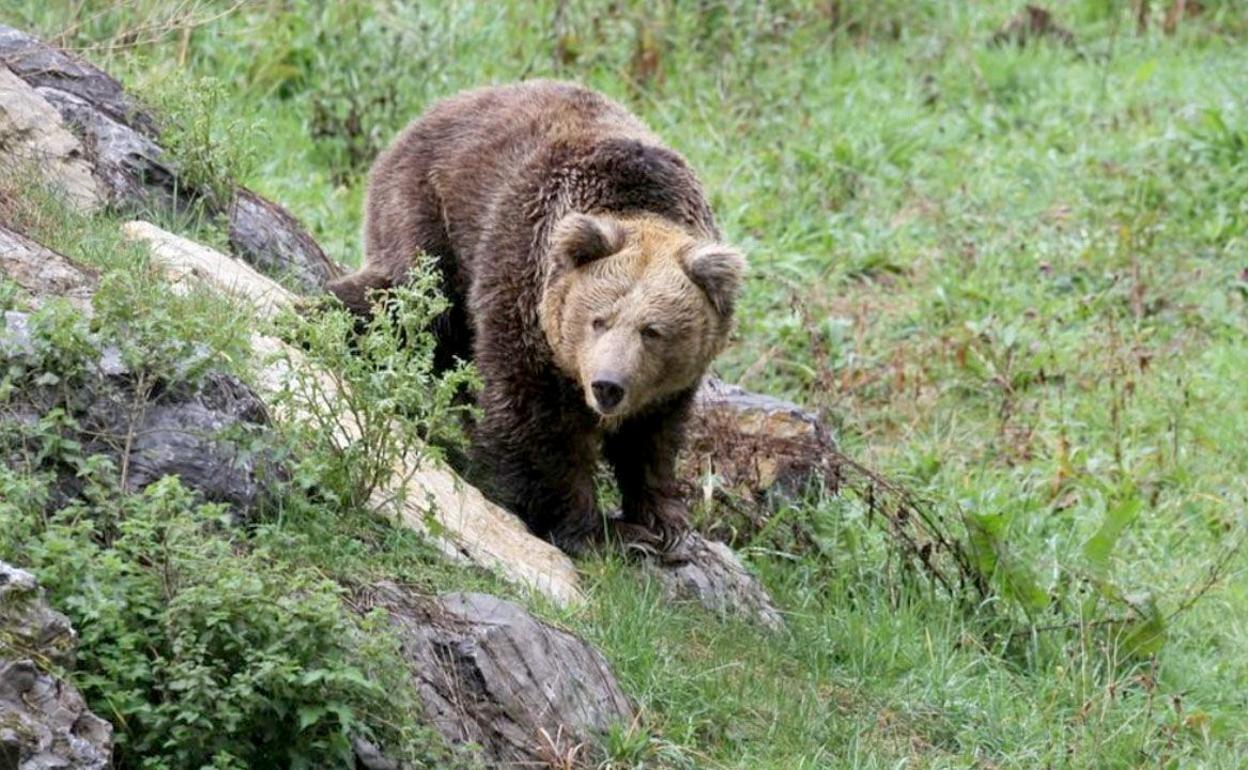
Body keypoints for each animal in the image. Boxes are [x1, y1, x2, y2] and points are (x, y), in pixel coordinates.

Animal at [326, 81, 743, 551]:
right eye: (599, 319)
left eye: (652, 331)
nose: (607, 386)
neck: (643, 200)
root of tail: (432, 111)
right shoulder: (524, 281)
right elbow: (530, 418)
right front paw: (595, 529)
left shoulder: (670, 381)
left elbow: (654, 433)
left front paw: (663, 518)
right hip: (430, 213)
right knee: (412, 307)